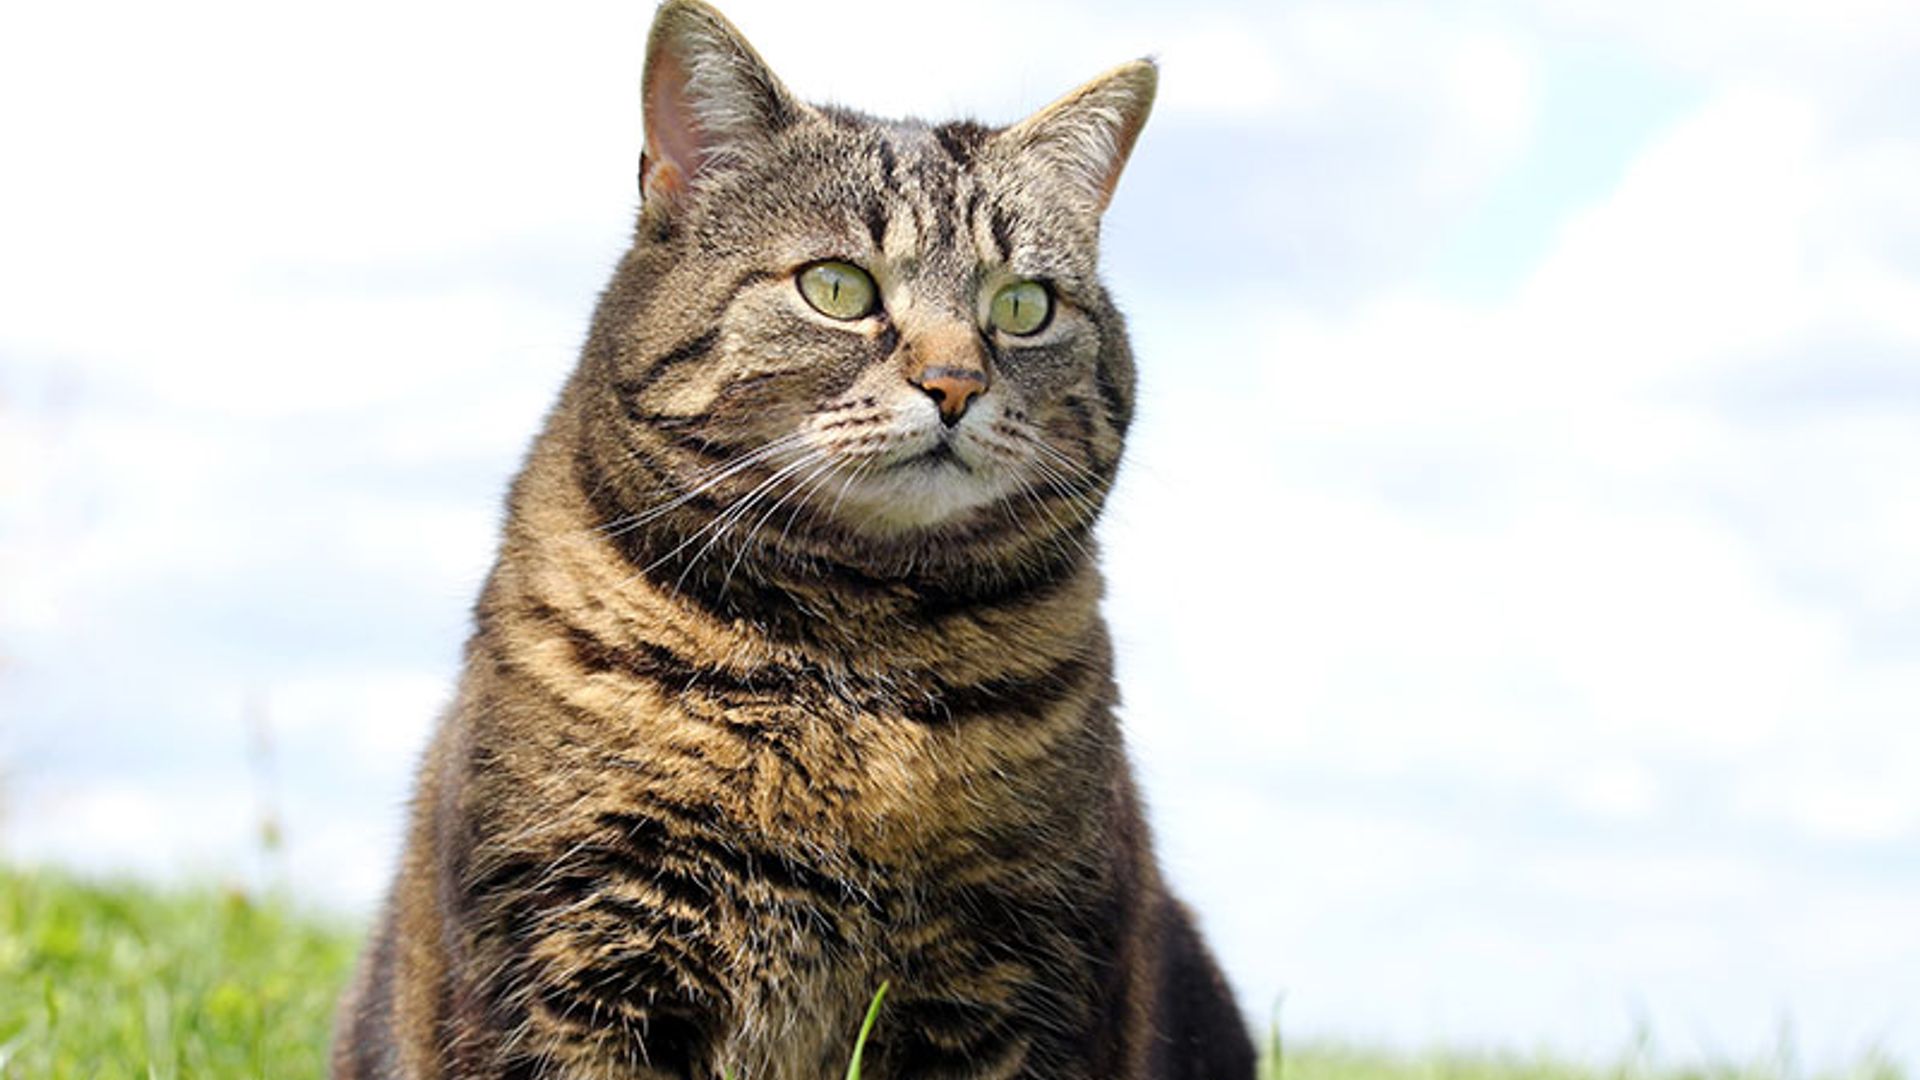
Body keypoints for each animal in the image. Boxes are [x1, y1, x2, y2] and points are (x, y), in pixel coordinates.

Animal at [330, 4, 1251, 1068]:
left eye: (1023, 307)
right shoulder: (575, 959)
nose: (954, 384)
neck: (849, 660)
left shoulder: (1010, 980)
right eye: (839, 288)